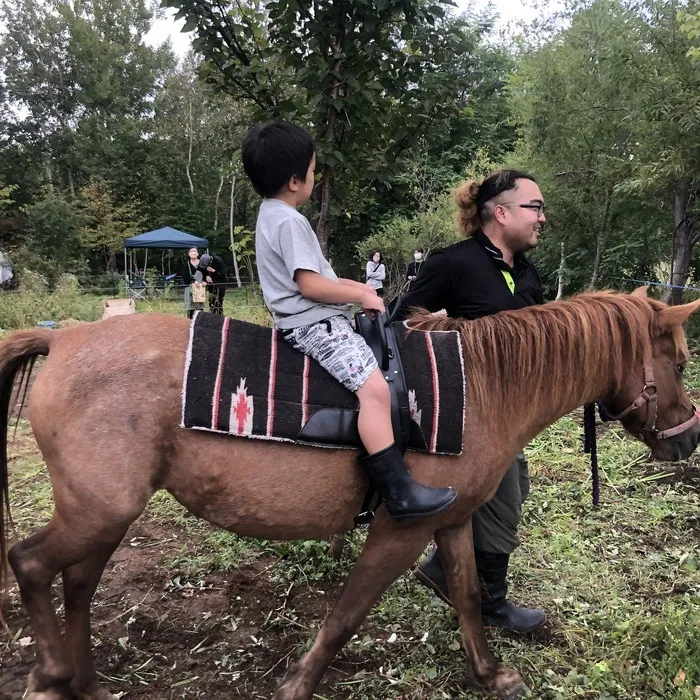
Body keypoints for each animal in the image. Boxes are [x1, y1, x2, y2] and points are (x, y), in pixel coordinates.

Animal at [1, 288, 700, 696]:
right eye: (682, 363)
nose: (688, 438)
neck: (484, 389)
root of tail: (62, 336)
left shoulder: (451, 523)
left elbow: (469, 596)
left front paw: (489, 672)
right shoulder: (402, 529)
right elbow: (345, 617)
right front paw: (296, 686)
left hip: (103, 514)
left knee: (77, 585)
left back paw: (85, 685)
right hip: (100, 511)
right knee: (29, 563)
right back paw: (53, 674)